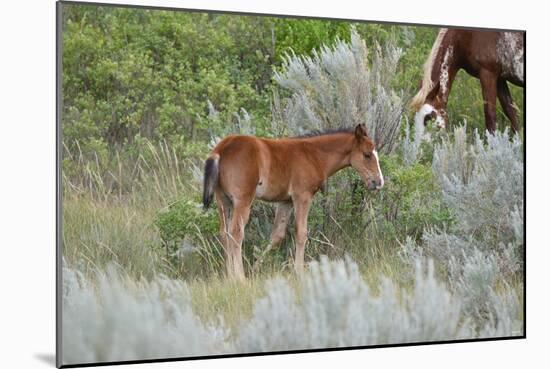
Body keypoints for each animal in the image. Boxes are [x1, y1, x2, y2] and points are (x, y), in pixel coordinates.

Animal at [201, 123, 386, 278]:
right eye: (367, 155)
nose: (378, 182)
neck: (313, 155)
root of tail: (221, 149)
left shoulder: (286, 201)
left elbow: (277, 235)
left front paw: (255, 268)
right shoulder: (302, 196)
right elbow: (301, 233)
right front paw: (299, 271)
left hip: (223, 201)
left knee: (224, 233)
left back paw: (229, 276)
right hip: (243, 200)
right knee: (236, 233)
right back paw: (239, 277)